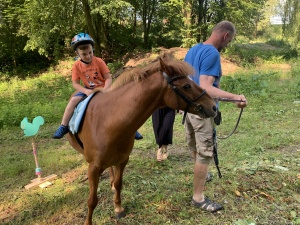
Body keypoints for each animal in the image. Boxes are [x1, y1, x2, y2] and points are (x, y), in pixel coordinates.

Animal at [67, 55, 217, 225]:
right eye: (186, 86)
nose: (213, 107)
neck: (108, 122)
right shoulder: (93, 167)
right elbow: (92, 200)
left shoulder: (122, 160)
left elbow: (118, 184)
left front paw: (118, 208)